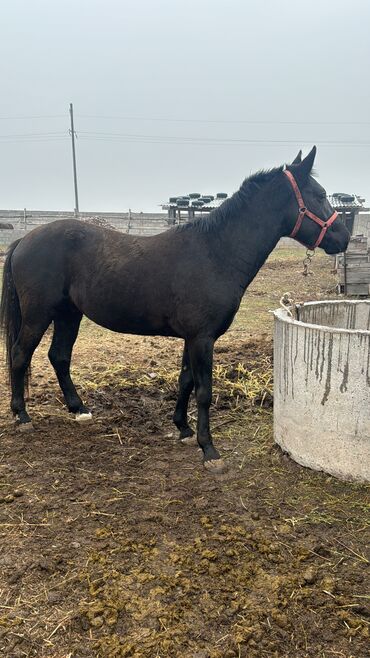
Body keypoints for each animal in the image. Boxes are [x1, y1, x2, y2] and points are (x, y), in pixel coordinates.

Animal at [0, 146, 350, 468]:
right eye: (319, 195)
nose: (343, 237)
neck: (216, 253)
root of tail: (24, 241)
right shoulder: (202, 338)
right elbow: (204, 390)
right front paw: (209, 450)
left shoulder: (192, 338)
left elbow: (185, 381)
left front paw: (183, 428)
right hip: (38, 315)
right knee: (20, 354)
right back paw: (22, 415)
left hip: (69, 314)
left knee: (58, 356)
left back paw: (79, 409)